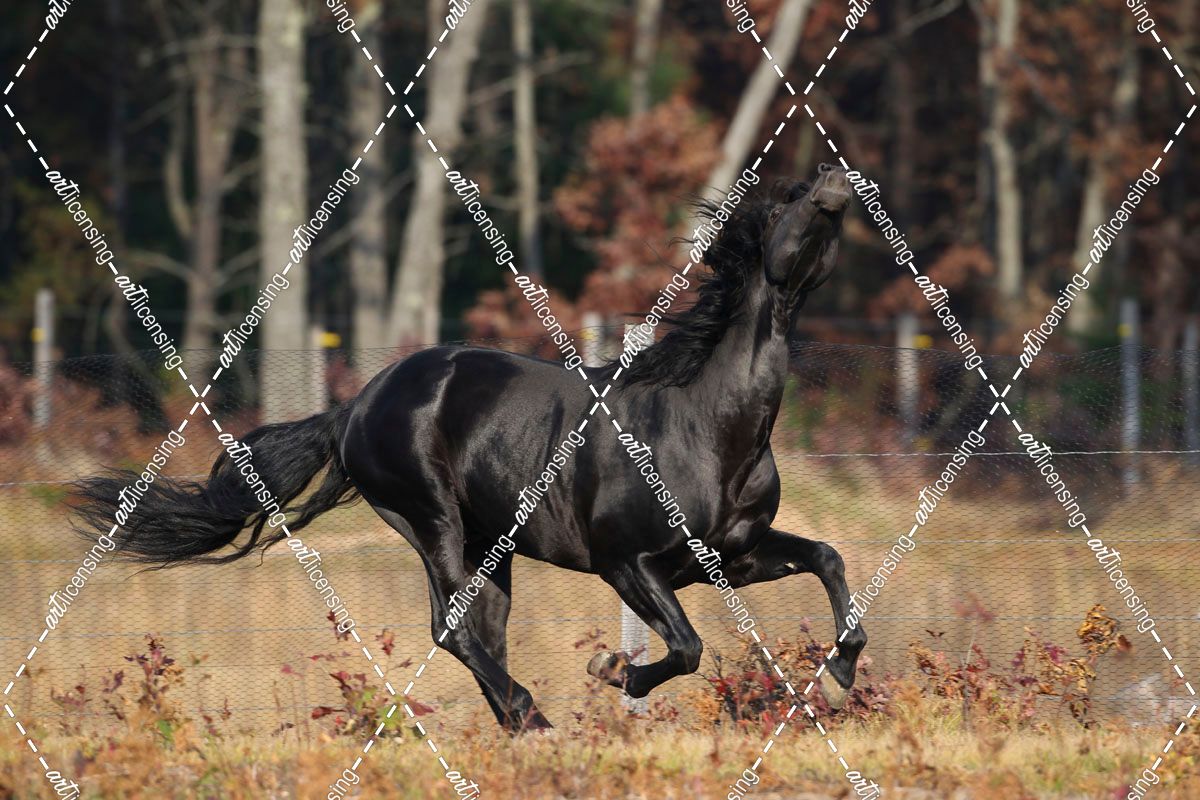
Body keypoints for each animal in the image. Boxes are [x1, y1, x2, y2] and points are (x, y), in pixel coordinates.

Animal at [73, 164, 865, 731]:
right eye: (787, 201)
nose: (835, 178)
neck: (706, 428)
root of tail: (360, 404)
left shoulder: (729, 558)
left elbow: (827, 557)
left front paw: (840, 678)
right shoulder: (627, 562)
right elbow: (686, 647)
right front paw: (614, 671)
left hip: (493, 546)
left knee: (480, 634)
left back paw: (522, 726)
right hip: (433, 521)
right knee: (451, 628)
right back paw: (534, 720)